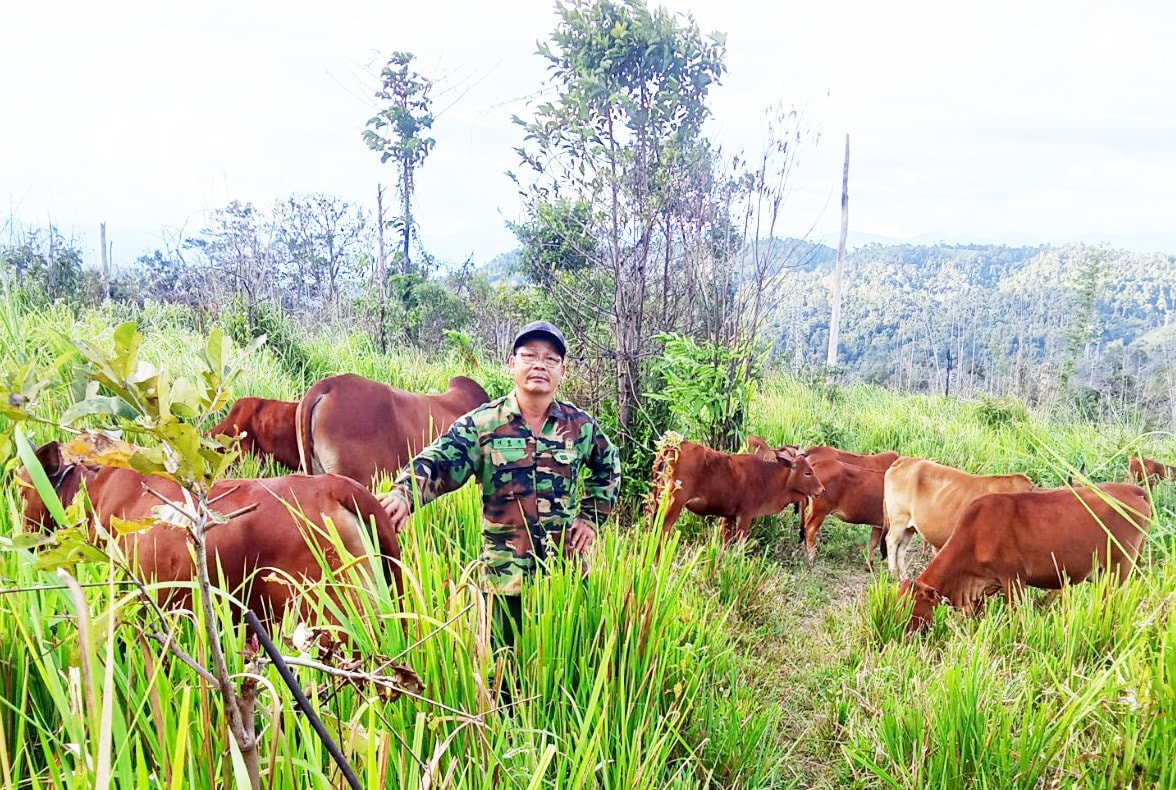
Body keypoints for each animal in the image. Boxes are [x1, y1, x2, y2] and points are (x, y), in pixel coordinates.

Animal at [653, 437, 827, 543]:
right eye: (808, 472)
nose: (822, 489)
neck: (767, 478)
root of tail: (673, 447)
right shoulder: (744, 517)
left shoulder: (728, 517)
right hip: (674, 502)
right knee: (662, 531)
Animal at [884, 453, 1039, 576]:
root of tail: (905, 460)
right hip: (899, 520)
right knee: (891, 541)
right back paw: (893, 575)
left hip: (909, 527)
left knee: (901, 549)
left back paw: (904, 577)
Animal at [898, 481, 1147, 630]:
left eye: (911, 606)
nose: (901, 633)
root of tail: (1132, 489)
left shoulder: (1013, 579)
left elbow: (1017, 617)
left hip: (1119, 568)